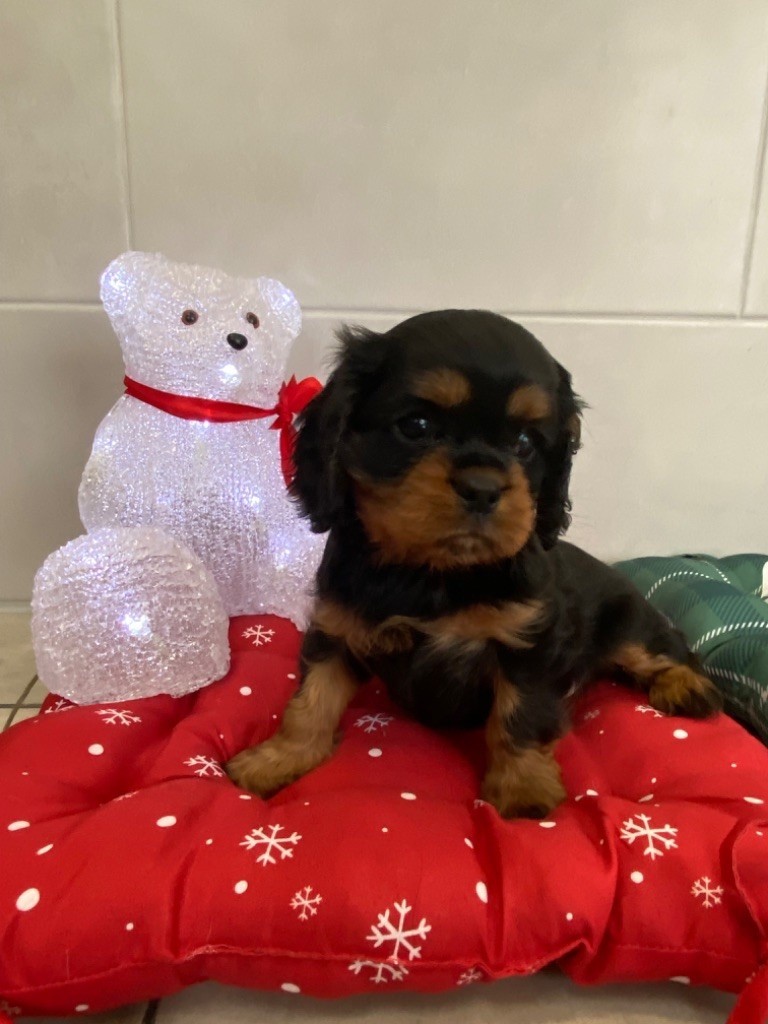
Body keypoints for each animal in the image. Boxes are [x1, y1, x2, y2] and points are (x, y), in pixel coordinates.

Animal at [227, 309, 720, 815]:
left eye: (524, 442)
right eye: (417, 425)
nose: (483, 488)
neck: (430, 572)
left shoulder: (529, 643)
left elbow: (519, 716)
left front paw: (523, 788)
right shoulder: (338, 625)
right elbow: (311, 700)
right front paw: (277, 759)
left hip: (628, 623)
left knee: (668, 647)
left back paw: (686, 686)